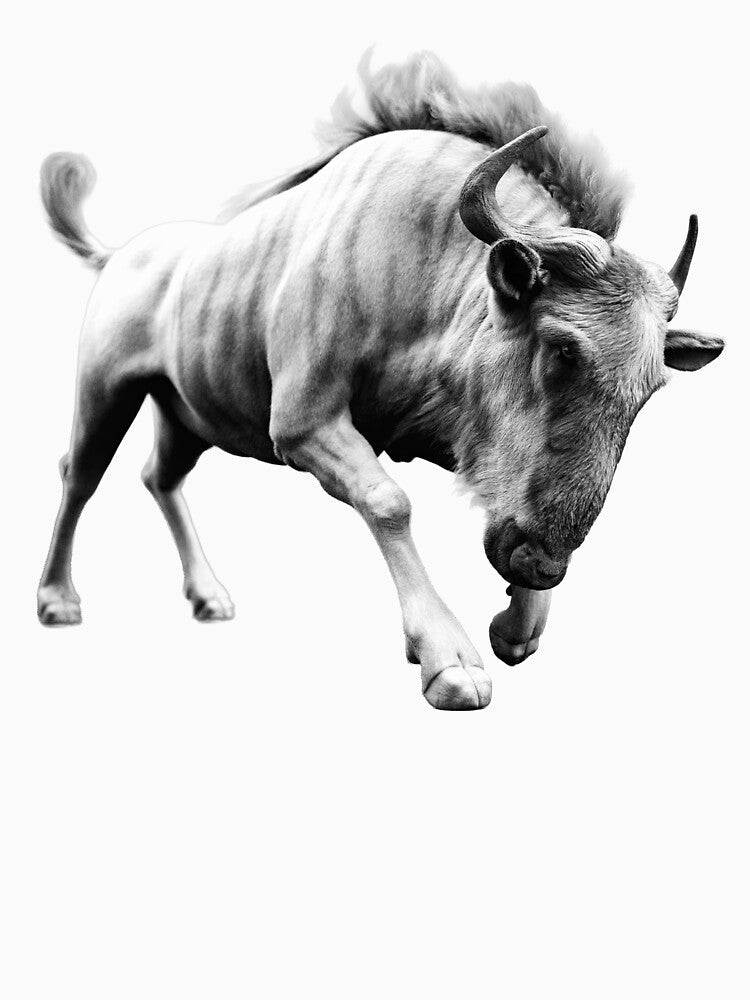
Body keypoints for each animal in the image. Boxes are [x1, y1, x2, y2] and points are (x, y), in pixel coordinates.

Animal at [37, 54, 723, 709]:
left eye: (651, 387)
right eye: (559, 348)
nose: (542, 561)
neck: (422, 258)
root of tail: (122, 254)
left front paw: (514, 628)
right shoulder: (304, 426)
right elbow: (390, 502)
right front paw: (449, 663)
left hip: (189, 420)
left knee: (160, 477)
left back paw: (209, 596)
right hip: (106, 394)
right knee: (81, 475)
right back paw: (58, 601)